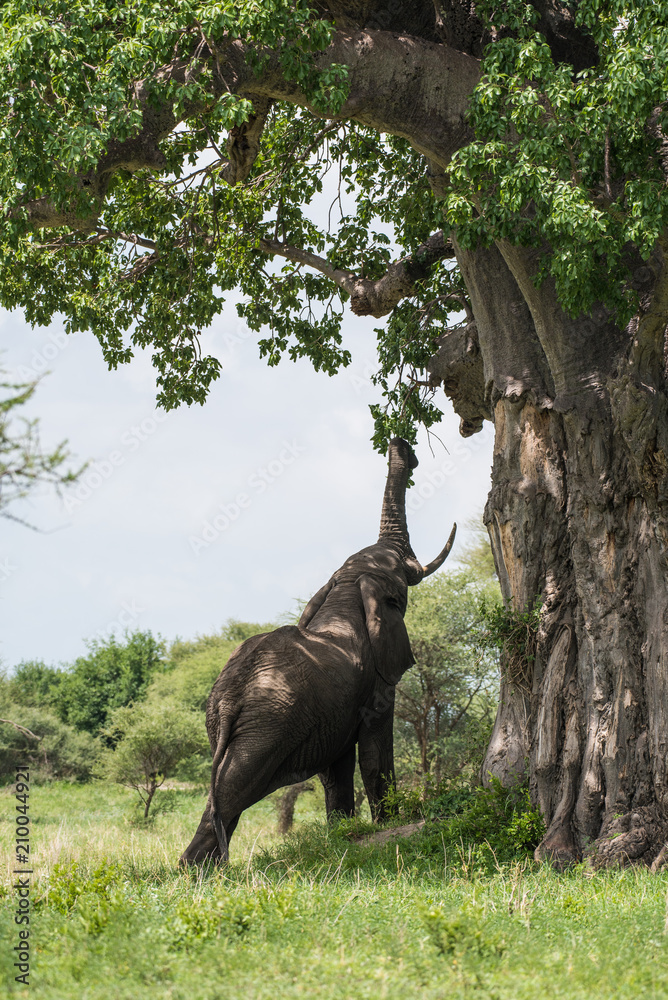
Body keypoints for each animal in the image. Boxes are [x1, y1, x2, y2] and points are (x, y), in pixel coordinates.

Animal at [180, 438, 455, 864]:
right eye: (399, 571)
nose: (404, 449)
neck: (347, 589)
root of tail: (227, 699)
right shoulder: (377, 685)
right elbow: (374, 754)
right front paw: (388, 825)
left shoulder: (333, 712)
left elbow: (336, 771)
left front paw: (342, 834)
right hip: (267, 724)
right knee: (231, 794)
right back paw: (199, 871)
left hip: (225, 724)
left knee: (222, 798)